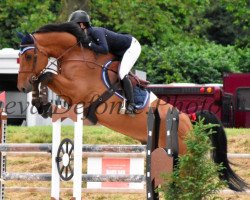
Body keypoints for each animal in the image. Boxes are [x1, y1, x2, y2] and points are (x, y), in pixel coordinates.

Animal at [17, 21, 248, 191]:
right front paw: (41, 103)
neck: (76, 56)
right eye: (19, 58)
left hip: (182, 157)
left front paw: (41, 102)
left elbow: (46, 75)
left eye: (28, 56)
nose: (21, 87)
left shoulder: (77, 89)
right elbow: (45, 77)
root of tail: (189, 120)